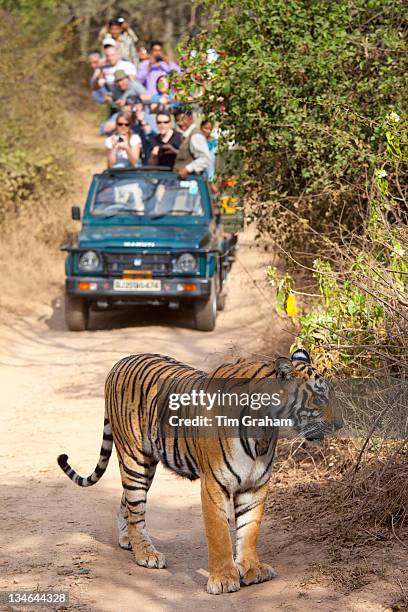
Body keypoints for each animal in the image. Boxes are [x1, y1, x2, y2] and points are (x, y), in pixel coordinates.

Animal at [55, 350, 340, 592]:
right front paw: (224, 580)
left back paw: (128, 540)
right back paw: (146, 554)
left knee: (127, 502)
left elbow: (249, 530)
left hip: (146, 465)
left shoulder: (255, 485)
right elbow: (220, 535)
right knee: (136, 507)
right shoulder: (215, 484)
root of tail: (120, 362)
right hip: (134, 458)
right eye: (318, 398)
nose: (340, 424)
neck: (264, 431)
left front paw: (252, 570)